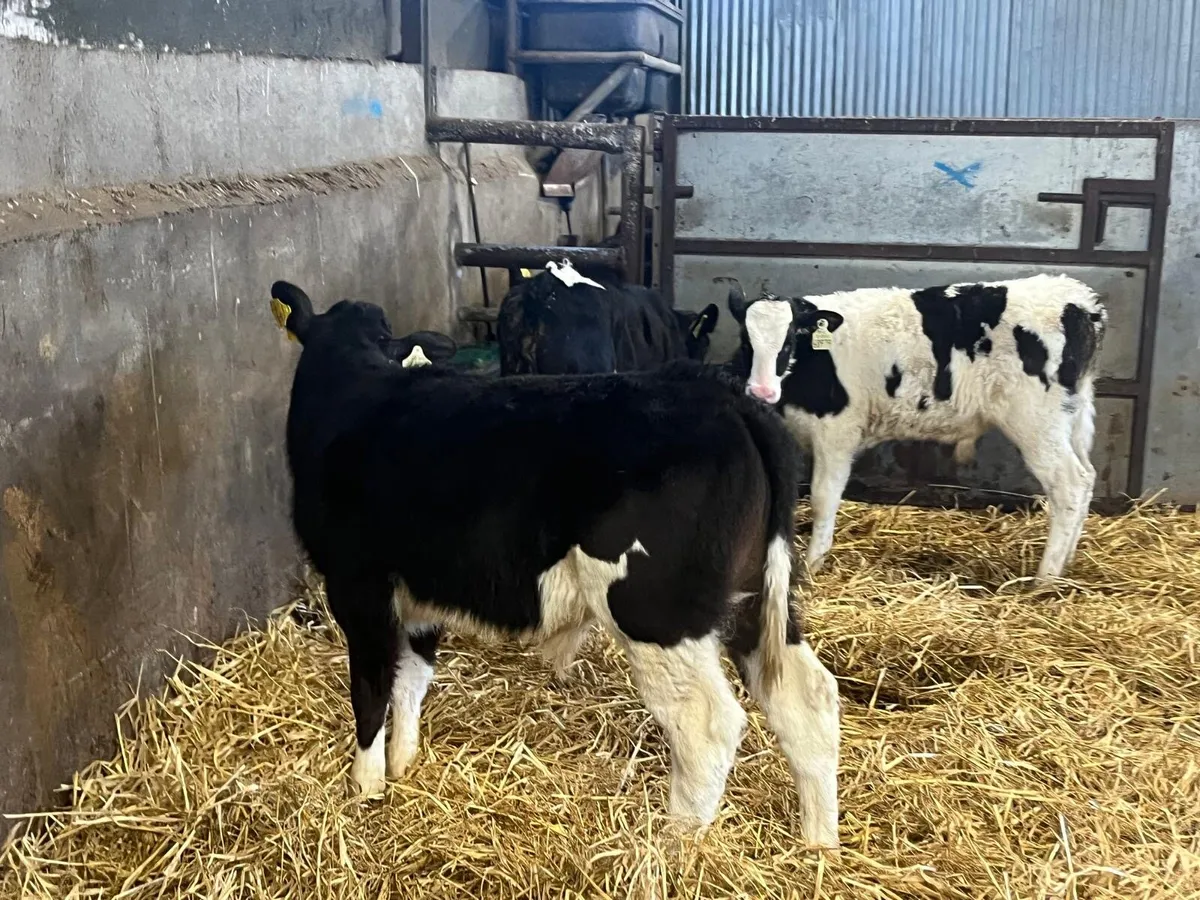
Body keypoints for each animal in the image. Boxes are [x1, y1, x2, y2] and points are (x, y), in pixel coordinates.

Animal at [267, 280, 840, 848]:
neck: (352, 392)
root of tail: (724, 397)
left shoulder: (356, 584)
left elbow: (370, 688)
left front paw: (365, 788)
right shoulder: (421, 590)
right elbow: (412, 679)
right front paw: (404, 764)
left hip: (655, 611)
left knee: (705, 725)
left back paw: (673, 847)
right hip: (756, 595)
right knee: (806, 697)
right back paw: (818, 845)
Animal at [726, 273, 1107, 582]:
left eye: (788, 341)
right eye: (745, 341)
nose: (761, 391)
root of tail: (1081, 301)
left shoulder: (837, 433)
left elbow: (823, 497)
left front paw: (812, 563)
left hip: (1036, 422)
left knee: (1069, 485)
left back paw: (1046, 578)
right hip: (1074, 416)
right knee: (1087, 477)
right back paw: (1068, 563)